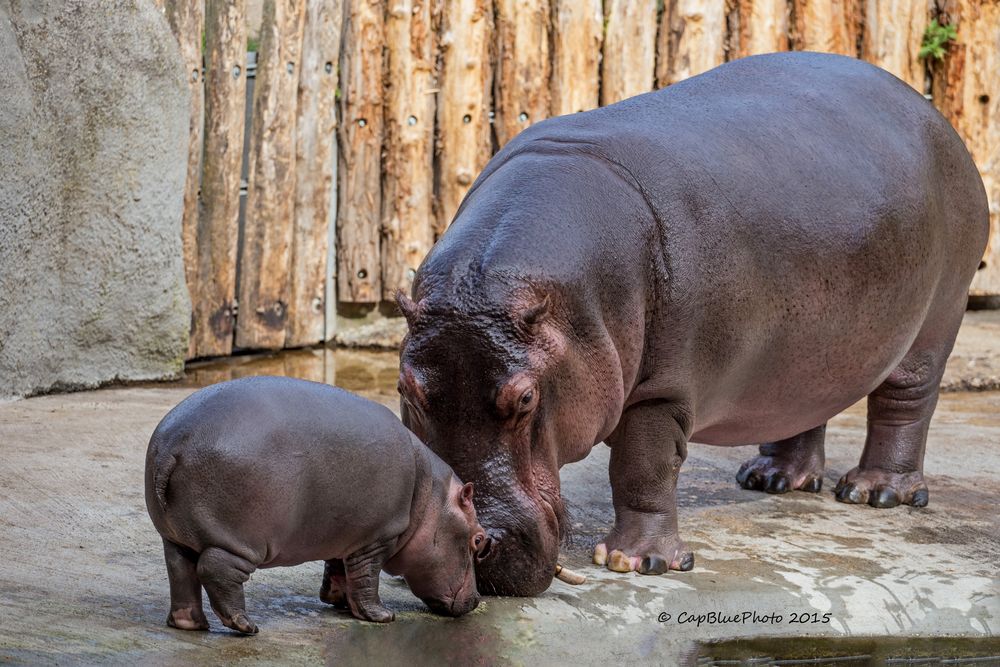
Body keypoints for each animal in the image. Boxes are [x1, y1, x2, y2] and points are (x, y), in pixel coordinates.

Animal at [146, 376, 488, 636]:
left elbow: (338, 569)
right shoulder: (378, 537)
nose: (476, 600)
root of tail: (175, 442)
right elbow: (367, 578)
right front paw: (381, 616)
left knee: (181, 571)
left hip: (175, 536)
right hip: (241, 540)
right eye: (480, 540)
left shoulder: (348, 535)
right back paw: (245, 626)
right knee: (216, 570)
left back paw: (190, 624)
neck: (429, 495)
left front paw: (339, 602)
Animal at [394, 51, 988, 596]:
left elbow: (643, 466)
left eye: (525, 399)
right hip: (803, 351)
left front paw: (638, 562)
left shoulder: (664, 390)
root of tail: (935, 116)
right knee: (803, 403)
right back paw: (773, 480)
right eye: (406, 390)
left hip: (937, 318)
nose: (469, 541)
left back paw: (875, 492)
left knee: (906, 403)